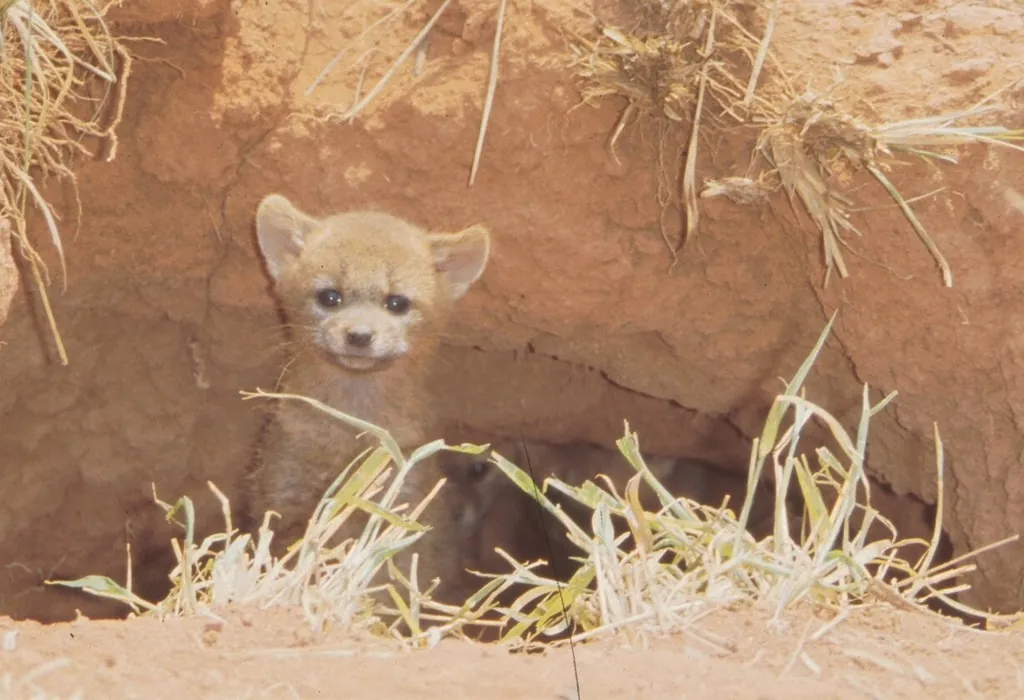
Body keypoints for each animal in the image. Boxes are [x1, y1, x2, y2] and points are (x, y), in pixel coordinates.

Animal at [242, 193, 491, 601]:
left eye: (397, 303)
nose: (359, 335)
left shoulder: (398, 508)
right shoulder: (286, 500)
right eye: (330, 296)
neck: (350, 434)